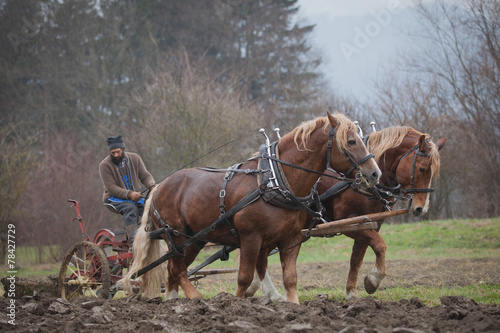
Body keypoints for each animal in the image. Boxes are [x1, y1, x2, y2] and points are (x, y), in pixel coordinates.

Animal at [120, 111, 378, 304]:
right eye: (351, 141)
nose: (375, 173)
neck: (276, 181)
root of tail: (159, 187)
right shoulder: (250, 238)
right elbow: (244, 278)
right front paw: (236, 303)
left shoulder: (290, 238)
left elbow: (290, 277)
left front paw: (291, 304)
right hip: (176, 235)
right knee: (178, 268)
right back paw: (195, 297)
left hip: (194, 239)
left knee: (174, 269)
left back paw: (174, 301)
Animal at [248, 126, 448, 300]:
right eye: (422, 168)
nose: (421, 208)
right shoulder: (348, 224)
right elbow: (380, 245)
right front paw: (373, 280)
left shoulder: (368, 224)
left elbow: (357, 259)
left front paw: (352, 292)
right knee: (260, 257)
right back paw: (270, 293)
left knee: (261, 257)